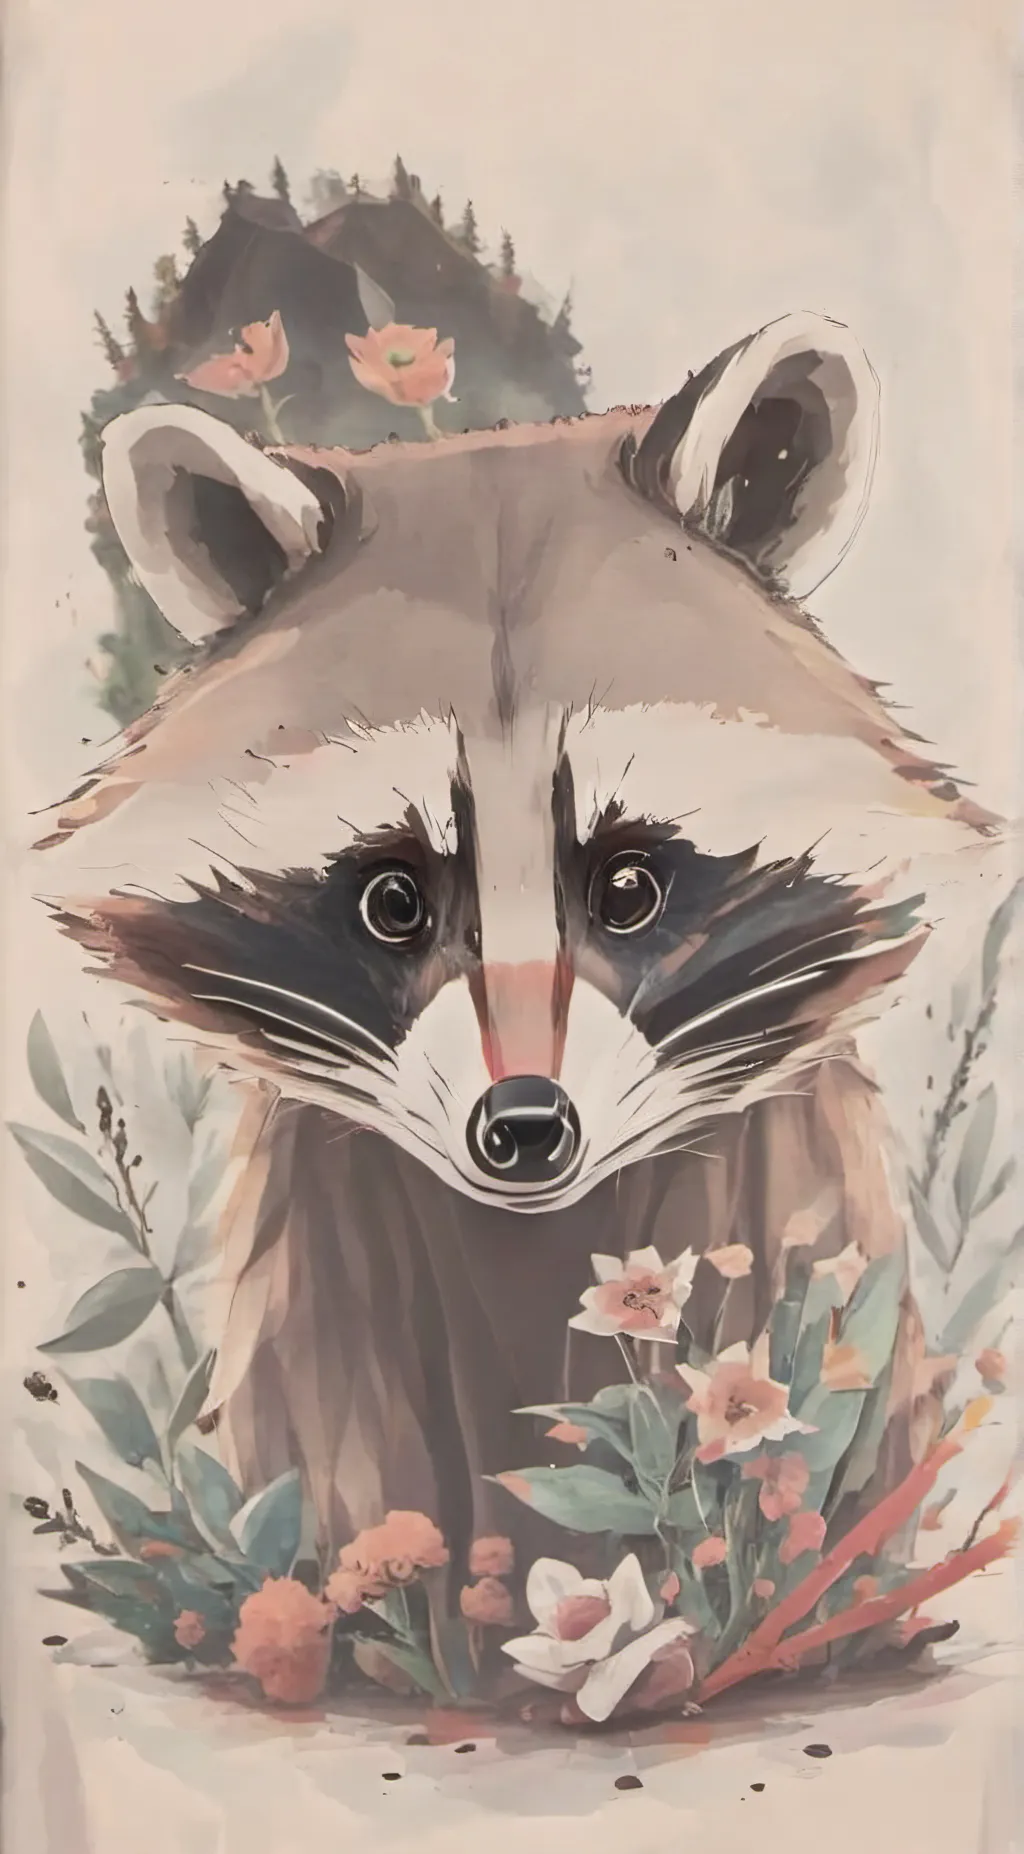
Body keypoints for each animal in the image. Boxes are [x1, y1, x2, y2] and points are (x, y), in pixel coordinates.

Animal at [38, 311, 999, 1556]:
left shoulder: (786, 1198)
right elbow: (337, 1446)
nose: (527, 1128)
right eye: (394, 901)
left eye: (628, 886)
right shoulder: (323, 1254)